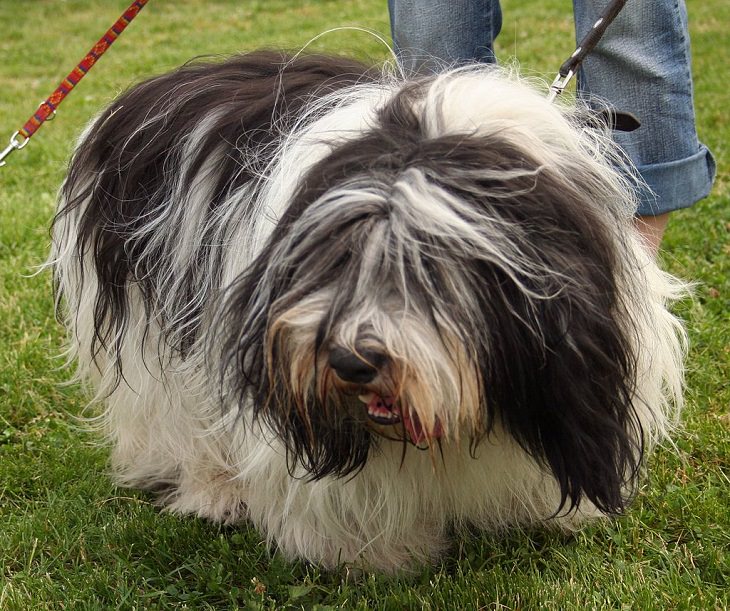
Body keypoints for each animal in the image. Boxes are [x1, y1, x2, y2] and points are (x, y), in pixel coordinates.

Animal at [49, 52, 684, 572]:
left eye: (429, 272)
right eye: (335, 262)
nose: (352, 362)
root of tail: (153, 89)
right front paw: (372, 553)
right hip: (155, 325)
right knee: (176, 413)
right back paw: (214, 490)